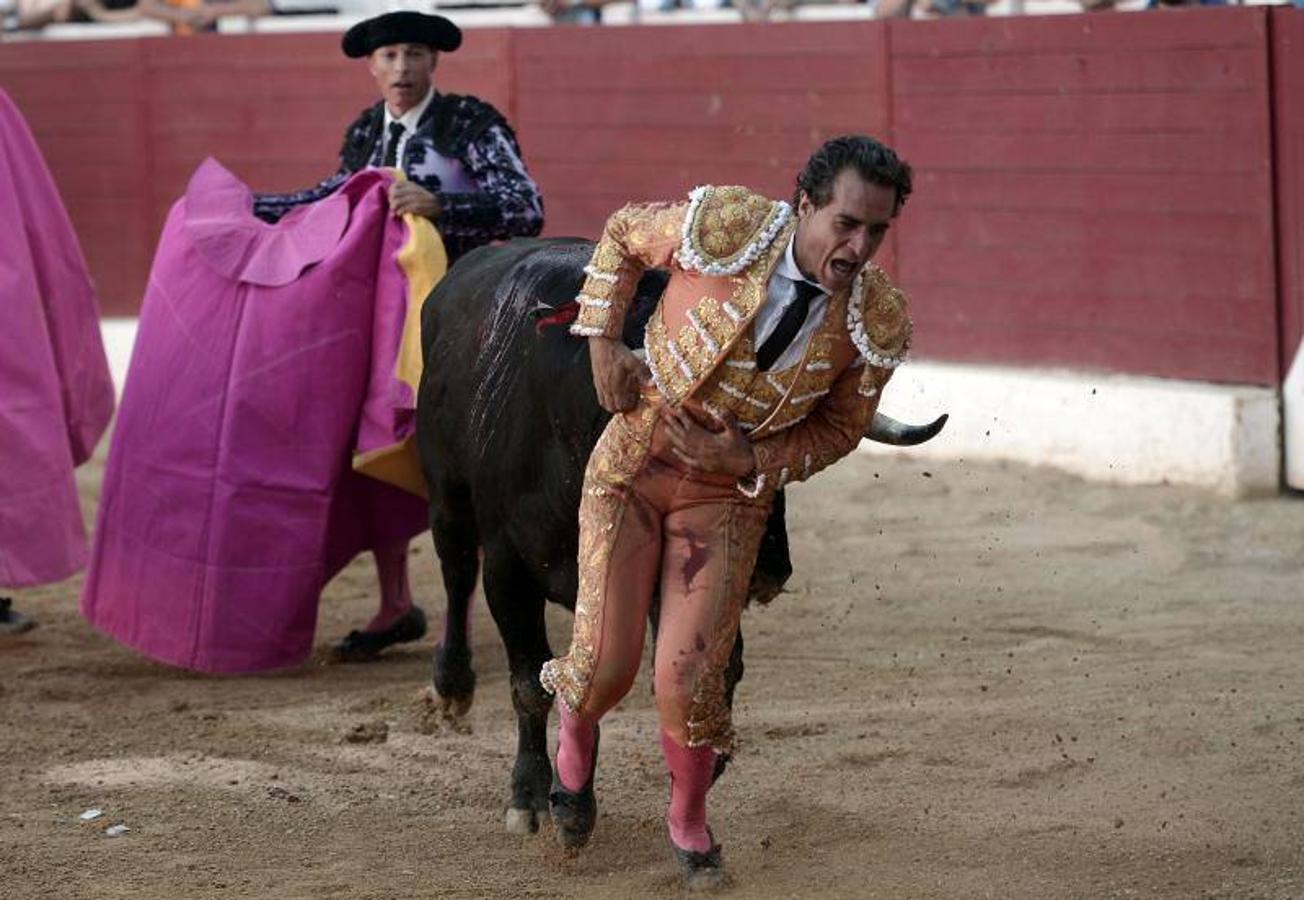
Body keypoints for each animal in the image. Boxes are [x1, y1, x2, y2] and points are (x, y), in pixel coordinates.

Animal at [412, 236, 944, 829]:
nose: (767, 572)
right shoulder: (508, 566)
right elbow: (531, 682)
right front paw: (529, 799)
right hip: (447, 495)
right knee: (457, 572)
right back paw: (451, 687)